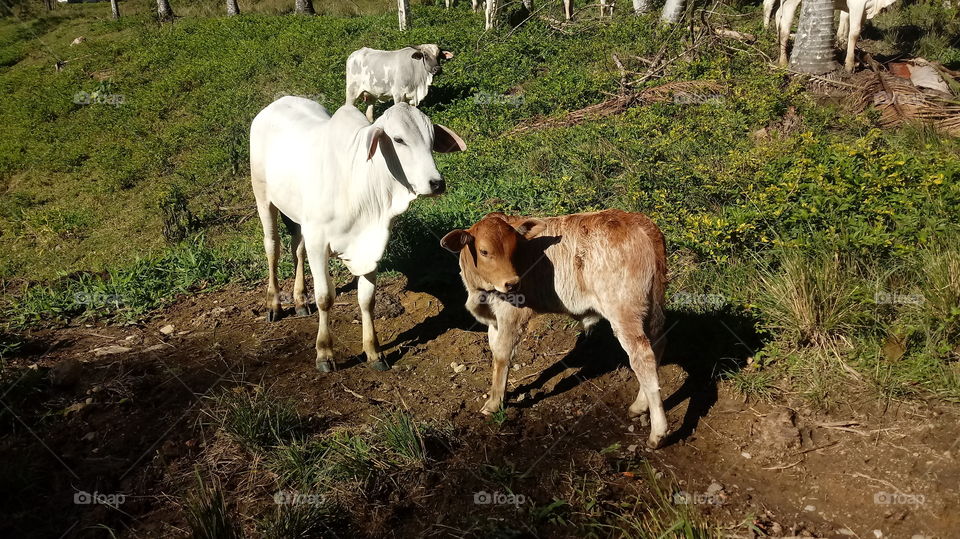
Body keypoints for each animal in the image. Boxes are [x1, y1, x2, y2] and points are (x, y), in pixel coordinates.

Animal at [250, 97, 466, 372]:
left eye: (431, 139)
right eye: (399, 139)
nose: (436, 183)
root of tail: (279, 101)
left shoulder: (371, 245)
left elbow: (367, 300)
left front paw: (374, 352)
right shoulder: (318, 243)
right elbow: (325, 297)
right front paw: (324, 353)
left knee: (296, 248)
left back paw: (299, 301)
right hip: (263, 198)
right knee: (273, 248)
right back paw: (274, 305)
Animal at [441, 210, 670, 448]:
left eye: (515, 249)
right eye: (484, 251)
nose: (512, 283)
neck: (480, 291)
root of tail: (638, 222)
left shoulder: (511, 315)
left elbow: (502, 356)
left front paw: (494, 403)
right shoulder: (495, 319)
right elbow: (494, 352)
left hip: (624, 311)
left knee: (642, 357)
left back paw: (658, 432)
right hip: (651, 308)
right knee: (658, 343)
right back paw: (639, 406)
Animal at [765, 0, 897, 72]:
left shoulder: (864, 10)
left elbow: (848, 32)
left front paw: (846, 57)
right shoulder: (856, 5)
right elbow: (854, 33)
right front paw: (849, 65)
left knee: (778, 16)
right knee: (783, 27)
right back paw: (783, 61)